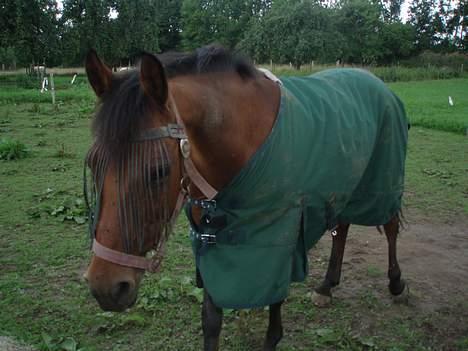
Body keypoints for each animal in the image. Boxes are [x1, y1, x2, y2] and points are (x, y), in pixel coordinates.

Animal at [85, 45, 410, 350]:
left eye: (158, 171)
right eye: (92, 163)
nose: (105, 287)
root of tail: (376, 82)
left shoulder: (282, 238)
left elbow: (274, 304)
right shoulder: (211, 242)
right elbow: (211, 320)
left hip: (382, 181)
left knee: (390, 226)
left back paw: (396, 284)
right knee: (341, 228)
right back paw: (326, 287)